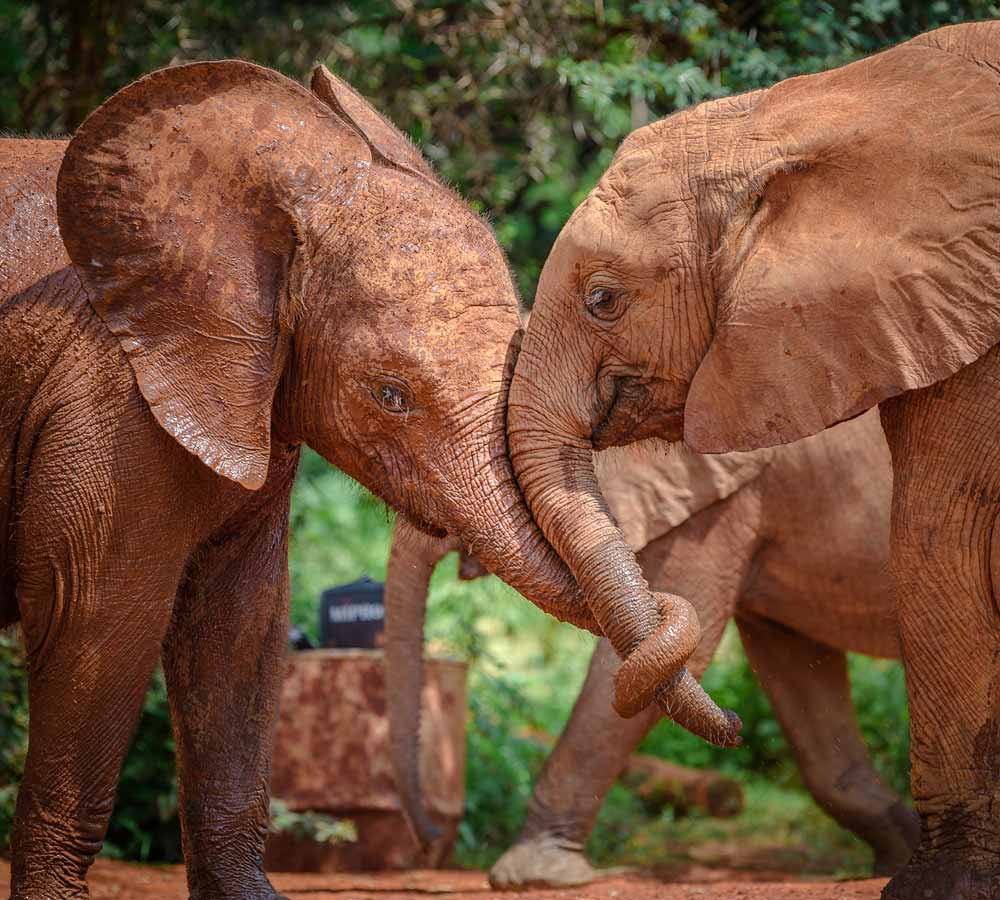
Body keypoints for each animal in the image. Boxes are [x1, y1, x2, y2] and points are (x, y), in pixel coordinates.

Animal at [386, 410, 916, 884]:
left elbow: (659, 651)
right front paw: (900, 855)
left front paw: (533, 876)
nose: (431, 839)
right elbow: (796, 670)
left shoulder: (719, 503)